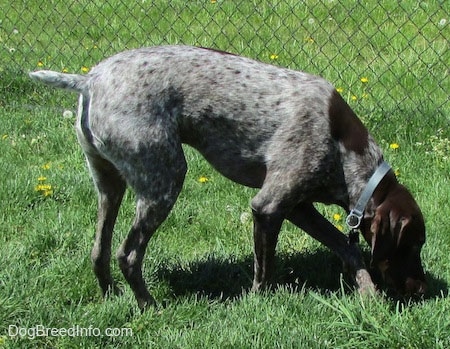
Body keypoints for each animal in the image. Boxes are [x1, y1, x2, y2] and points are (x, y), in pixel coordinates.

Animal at [30, 44, 426, 308]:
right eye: (413, 244)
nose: (422, 289)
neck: (344, 148)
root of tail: (89, 80)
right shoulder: (268, 207)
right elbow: (264, 271)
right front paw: (258, 303)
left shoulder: (297, 207)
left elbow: (347, 246)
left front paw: (367, 291)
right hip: (165, 181)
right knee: (127, 255)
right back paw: (149, 306)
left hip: (110, 185)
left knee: (99, 250)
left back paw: (112, 297)